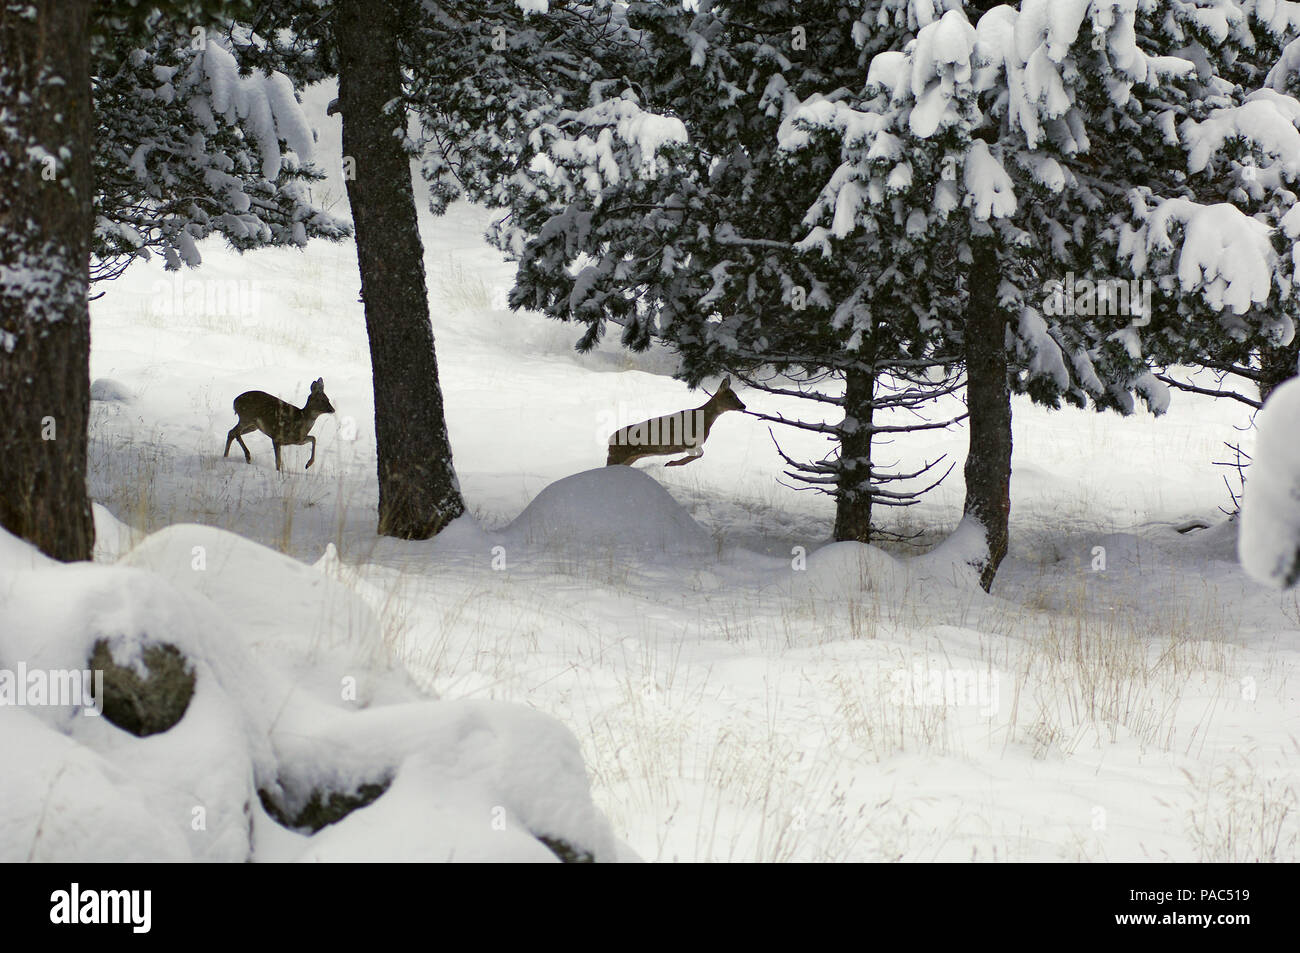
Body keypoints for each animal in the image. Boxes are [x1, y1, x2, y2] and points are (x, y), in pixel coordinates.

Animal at [603, 374, 748, 465]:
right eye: (730, 396)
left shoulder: (696, 444)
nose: (743, 406)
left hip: (631, 457)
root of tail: (610, 440)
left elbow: (700, 454)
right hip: (617, 455)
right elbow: (697, 454)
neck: (703, 420)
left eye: (736, 395)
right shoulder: (688, 442)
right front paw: (671, 463)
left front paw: (671, 463)